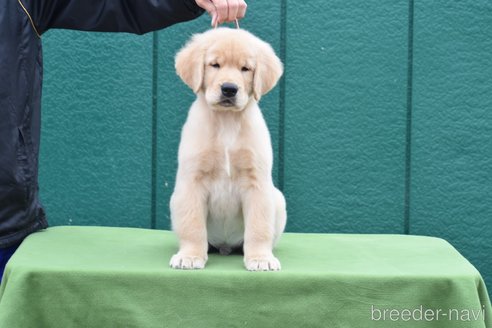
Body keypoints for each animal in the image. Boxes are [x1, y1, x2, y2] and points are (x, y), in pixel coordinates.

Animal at [169, 28, 286, 270]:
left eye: (245, 68)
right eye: (215, 65)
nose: (229, 89)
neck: (226, 121)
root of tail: (224, 245)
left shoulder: (256, 182)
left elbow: (259, 227)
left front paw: (260, 258)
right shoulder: (192, 181)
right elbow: (192, 226)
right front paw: (190, 256)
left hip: (278, 199)